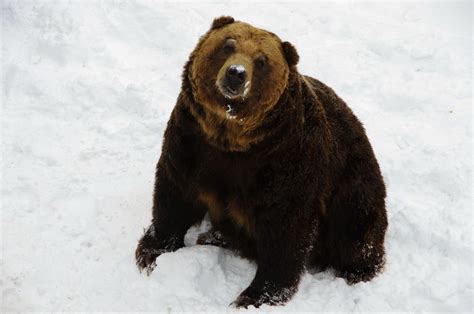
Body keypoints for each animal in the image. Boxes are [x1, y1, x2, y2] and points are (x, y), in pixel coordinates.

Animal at [135, 15, 386, 308]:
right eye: (228, 44)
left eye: (262, 60)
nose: (236, 73)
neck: (231, 139)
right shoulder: (191, 142)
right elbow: (175, 196)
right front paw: (152, 252)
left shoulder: (286, 162)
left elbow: (285, 230)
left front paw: (255, 295)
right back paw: (213, 236)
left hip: (354, 187)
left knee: (355, 234)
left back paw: (356, 271)